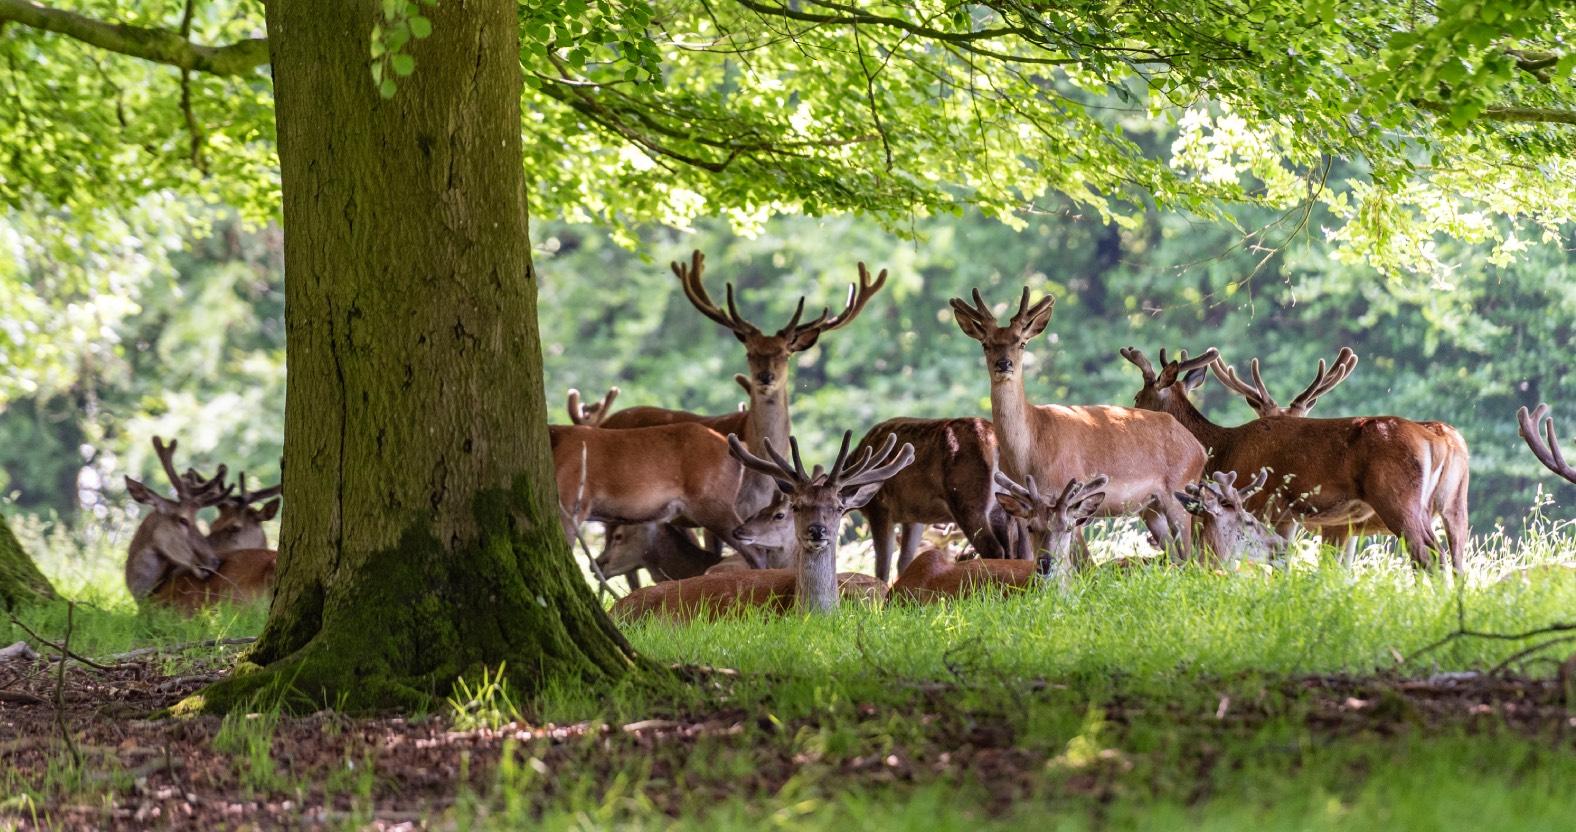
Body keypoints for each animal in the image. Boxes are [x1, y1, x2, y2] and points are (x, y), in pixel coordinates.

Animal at [950, 288, 1206, 561]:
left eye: (1022, 342)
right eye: (986, 344)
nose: (1004, 364)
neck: (1029, 453)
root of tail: (1199, 448)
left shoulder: (1069, 490)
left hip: (1177, 492)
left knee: (1191, 557)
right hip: (1151, 507)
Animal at [1122, 347, 1469, 572]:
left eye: (1138, 397)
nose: (1130, 411)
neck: (1222, 448)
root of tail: (1438, 439)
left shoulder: (1266, 504)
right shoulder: (1289, 516)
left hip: (1398, 497)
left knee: (1428, 556)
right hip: (1454, 505)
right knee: (1455, 557)